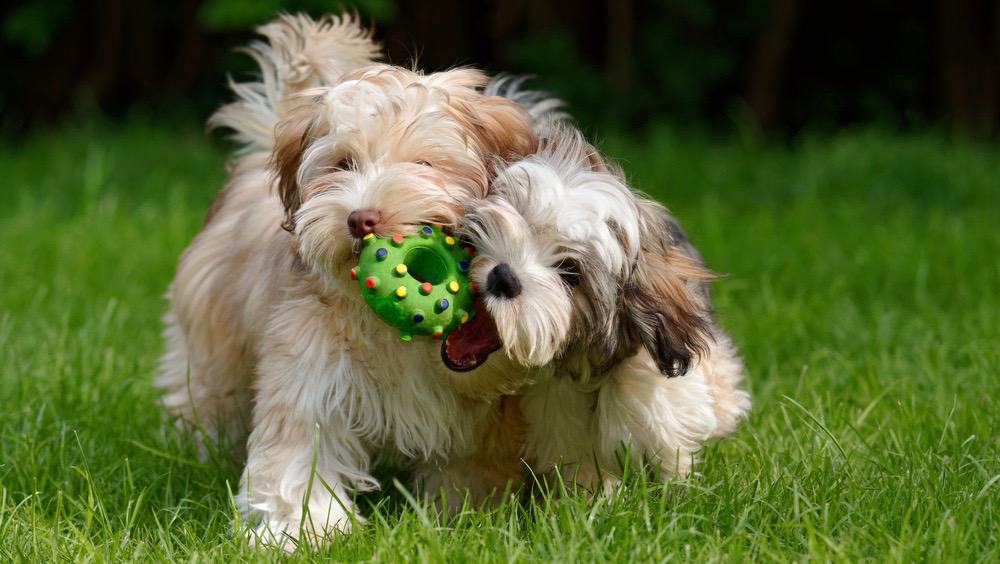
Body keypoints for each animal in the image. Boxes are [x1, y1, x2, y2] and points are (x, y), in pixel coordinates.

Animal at [154, 14, 540, 552]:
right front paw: (300, 529)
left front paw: (463, 519)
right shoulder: (309, 367)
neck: (397, 332)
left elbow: (471, 466)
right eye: (342, 165)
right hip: (212, 340)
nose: (362, 219)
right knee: (205, 394)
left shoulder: (480, 417)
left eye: (423, 165)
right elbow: (300, 449)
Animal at [448, 121, 752, 492]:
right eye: (516, 221)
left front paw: (679, 490)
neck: (585, 365)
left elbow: (671, 450)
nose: (503, 276)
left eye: (570, 272)